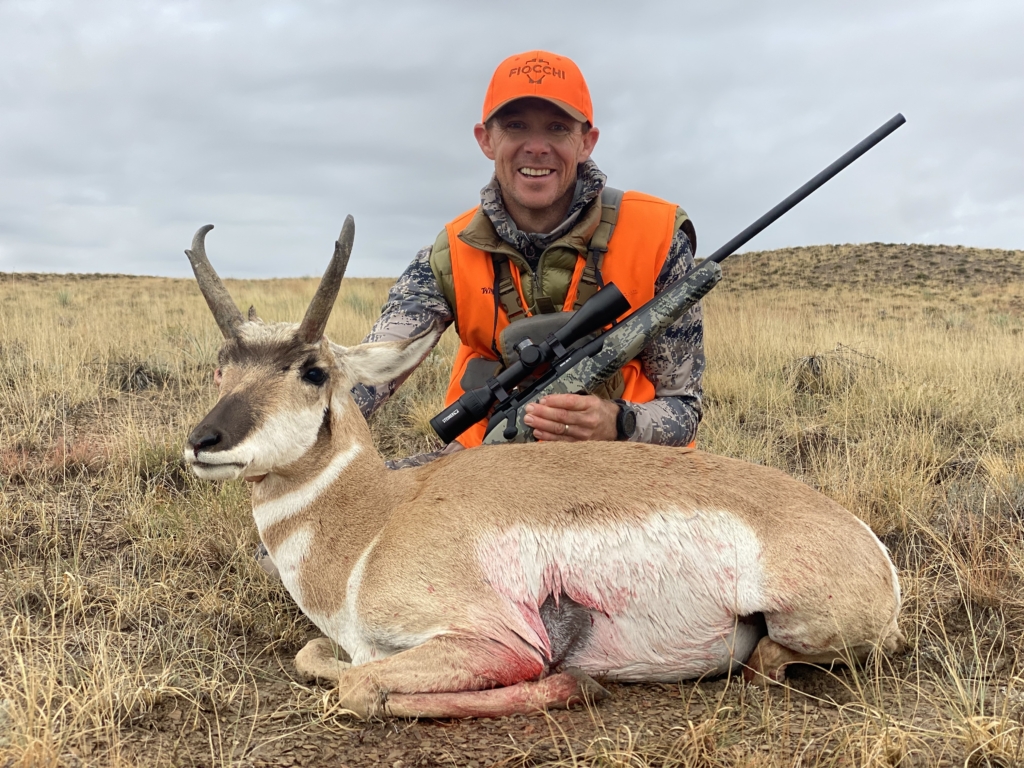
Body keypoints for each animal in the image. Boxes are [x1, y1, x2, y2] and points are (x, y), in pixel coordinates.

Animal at [181, 218, 903, 719]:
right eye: (222, 364)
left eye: (313, 371)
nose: (202, 441)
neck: (376, 518)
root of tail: (870, 547)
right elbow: (317, 656)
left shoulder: (496, 643)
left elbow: (360, 685)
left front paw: (574, 683)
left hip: (798, 623)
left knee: (771, 659)